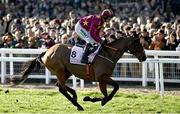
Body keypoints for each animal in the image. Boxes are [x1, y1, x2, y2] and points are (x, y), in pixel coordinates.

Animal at [10, 36, 146, 110]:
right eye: (138, 45)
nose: (144, 57)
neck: (108, 54)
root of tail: (46, 51)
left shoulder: (102, 79)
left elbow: (107, 94)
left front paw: (91, 98)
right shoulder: (102, 77)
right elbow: (115, 88)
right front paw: (100, 100)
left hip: (67, 71)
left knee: (59, 85)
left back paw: (75, 97)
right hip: (60, 70)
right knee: (61, 88)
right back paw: (78, 104)